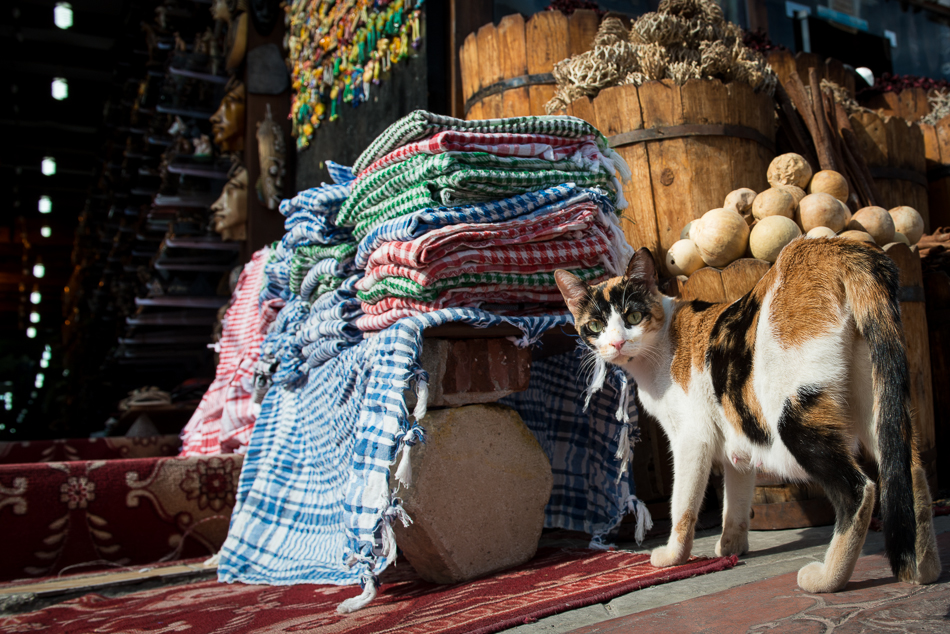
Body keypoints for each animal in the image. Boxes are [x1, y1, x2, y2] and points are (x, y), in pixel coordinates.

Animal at [556, 235, 940, 592]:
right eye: (594, 326)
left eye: (633, 316)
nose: (617, 343)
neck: (661, 345)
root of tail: (831, 248)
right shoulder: (735, 435)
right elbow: (736, 498)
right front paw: (731, 546)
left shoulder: (691, 439)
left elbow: (683, 503)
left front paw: (673, 556)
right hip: (876, 402)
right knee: (909, 471)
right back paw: (923, 570)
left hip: (793, 416)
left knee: (858, 489)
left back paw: (827, 580)